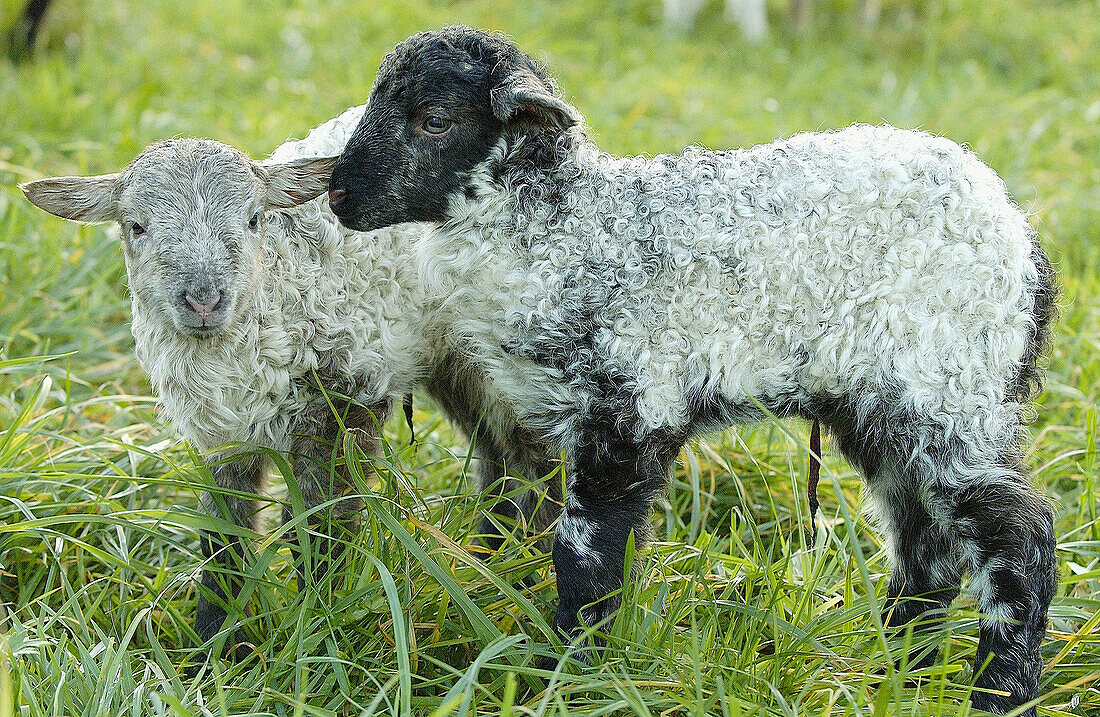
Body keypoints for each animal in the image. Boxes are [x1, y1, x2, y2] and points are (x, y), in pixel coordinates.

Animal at [19, 105, 558, 651]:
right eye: (136, 226)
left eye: (253, 219)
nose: (203, 300)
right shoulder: (221, 432)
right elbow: (223, 534)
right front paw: (214, 646)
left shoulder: (343, 403)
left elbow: (318, 528)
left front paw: (316, 629)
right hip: (457, 360)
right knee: (497, 454)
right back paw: (493, 557)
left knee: (538, 456)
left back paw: (530, 573)